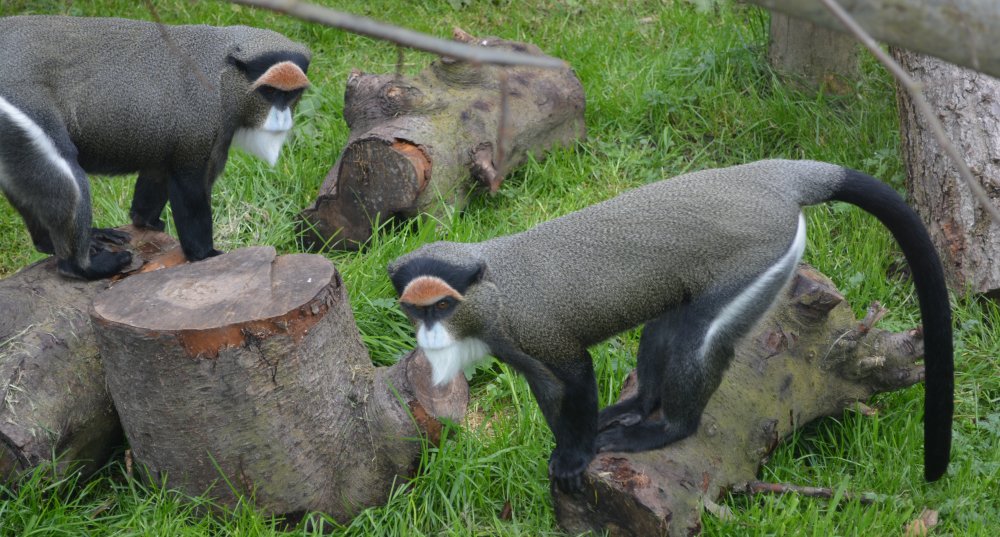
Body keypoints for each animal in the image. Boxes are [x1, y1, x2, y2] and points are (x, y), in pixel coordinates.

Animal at [0, 15, 310, 279]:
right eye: (269, 92)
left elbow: (159, 171)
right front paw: (205, 255)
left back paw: (50, 242)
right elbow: (190, 187)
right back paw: (80, 266)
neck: (224, 76)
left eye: (291, 94)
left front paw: (145, 221)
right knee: (65, 176)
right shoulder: (198, 132)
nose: (283, 118)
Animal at [388, 159, 953, 492]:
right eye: (416, 310)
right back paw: (639, 406)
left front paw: (574, 458)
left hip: (760, 259)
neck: (494, 291)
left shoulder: (535, 330)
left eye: (442, 306)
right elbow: (549, 391)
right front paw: (568, 446)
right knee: (667, 325)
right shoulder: (519, 349)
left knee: (698, 338)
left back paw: (667, 428)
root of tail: (770, 177)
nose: (427, 335)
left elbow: (576, 375)